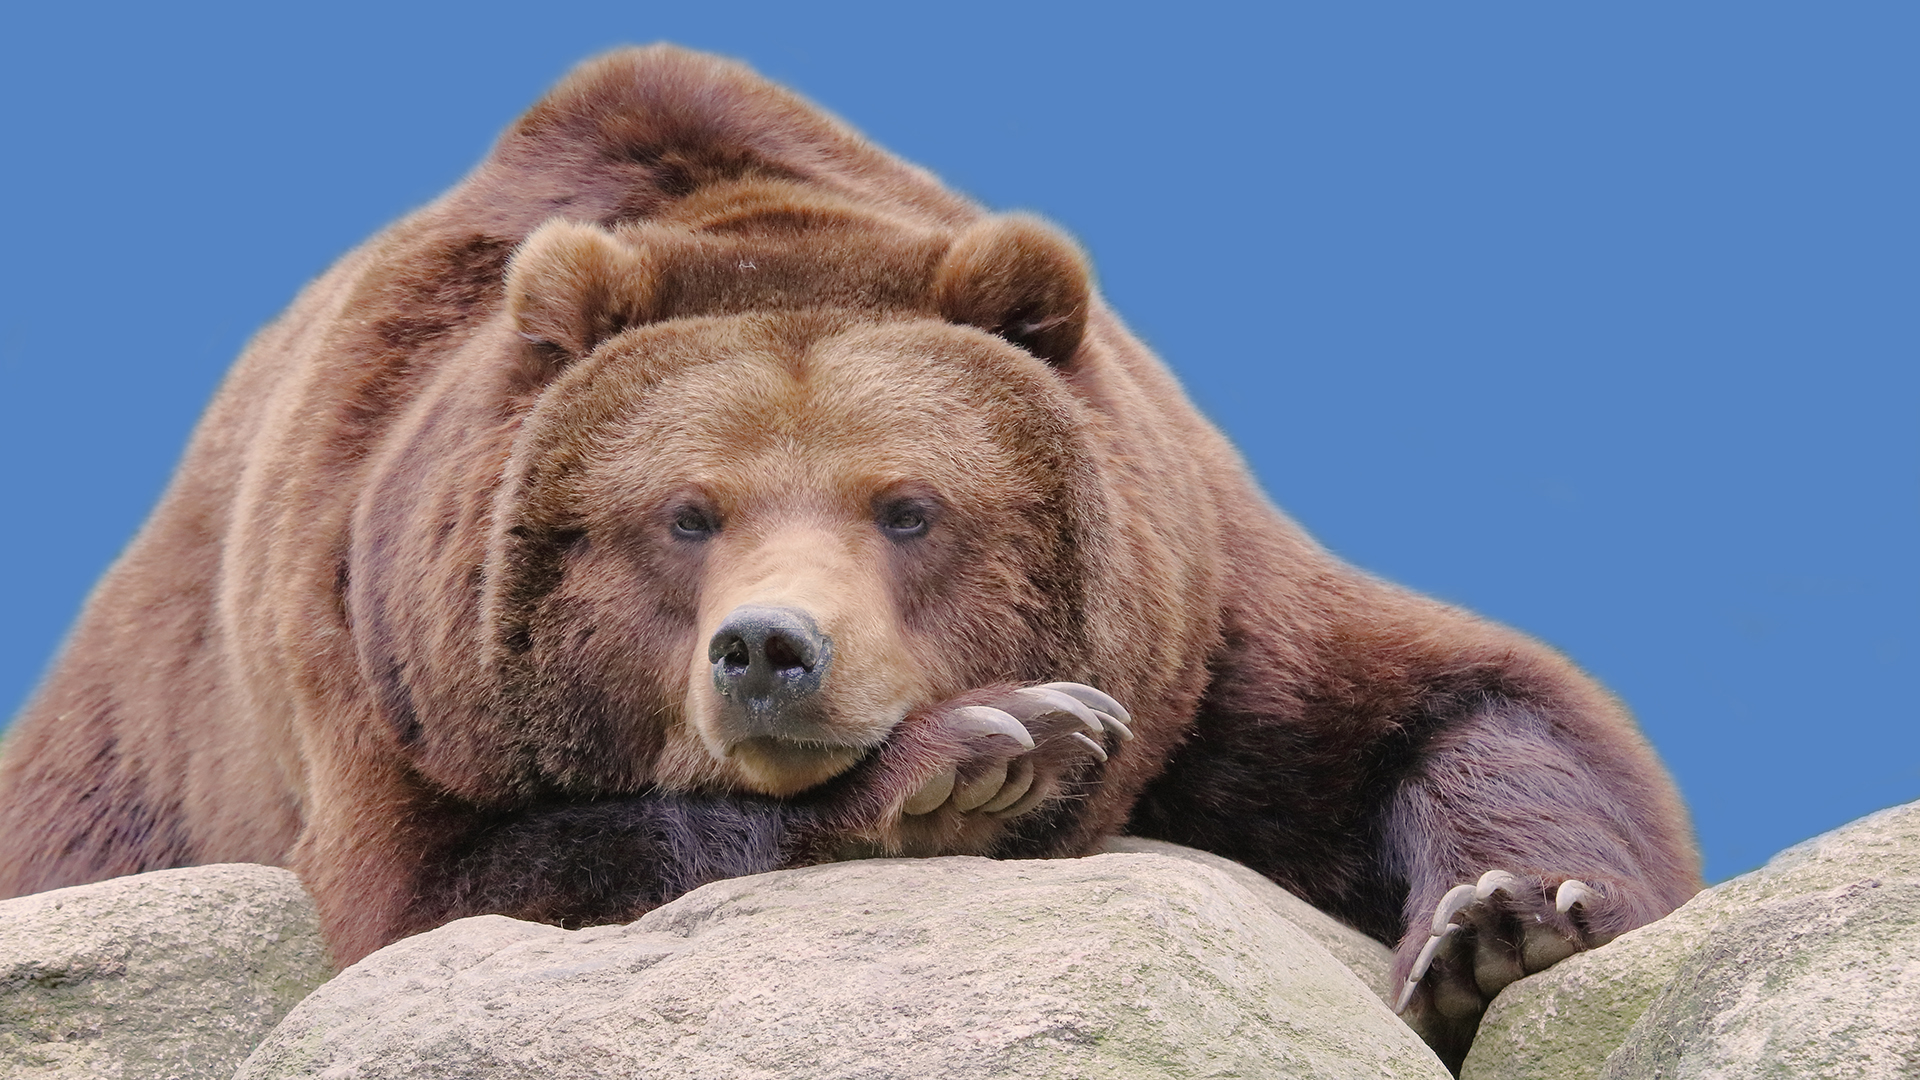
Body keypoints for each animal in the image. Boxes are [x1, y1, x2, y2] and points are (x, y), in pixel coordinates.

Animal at [0, 46, 1697, 1060]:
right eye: (685, 512)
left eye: (909, 506)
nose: (769, 648)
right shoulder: (382, 661)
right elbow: (456, 890)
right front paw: (982, 752)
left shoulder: (1202, 613)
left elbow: (1455, 698)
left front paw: (1502, 918)